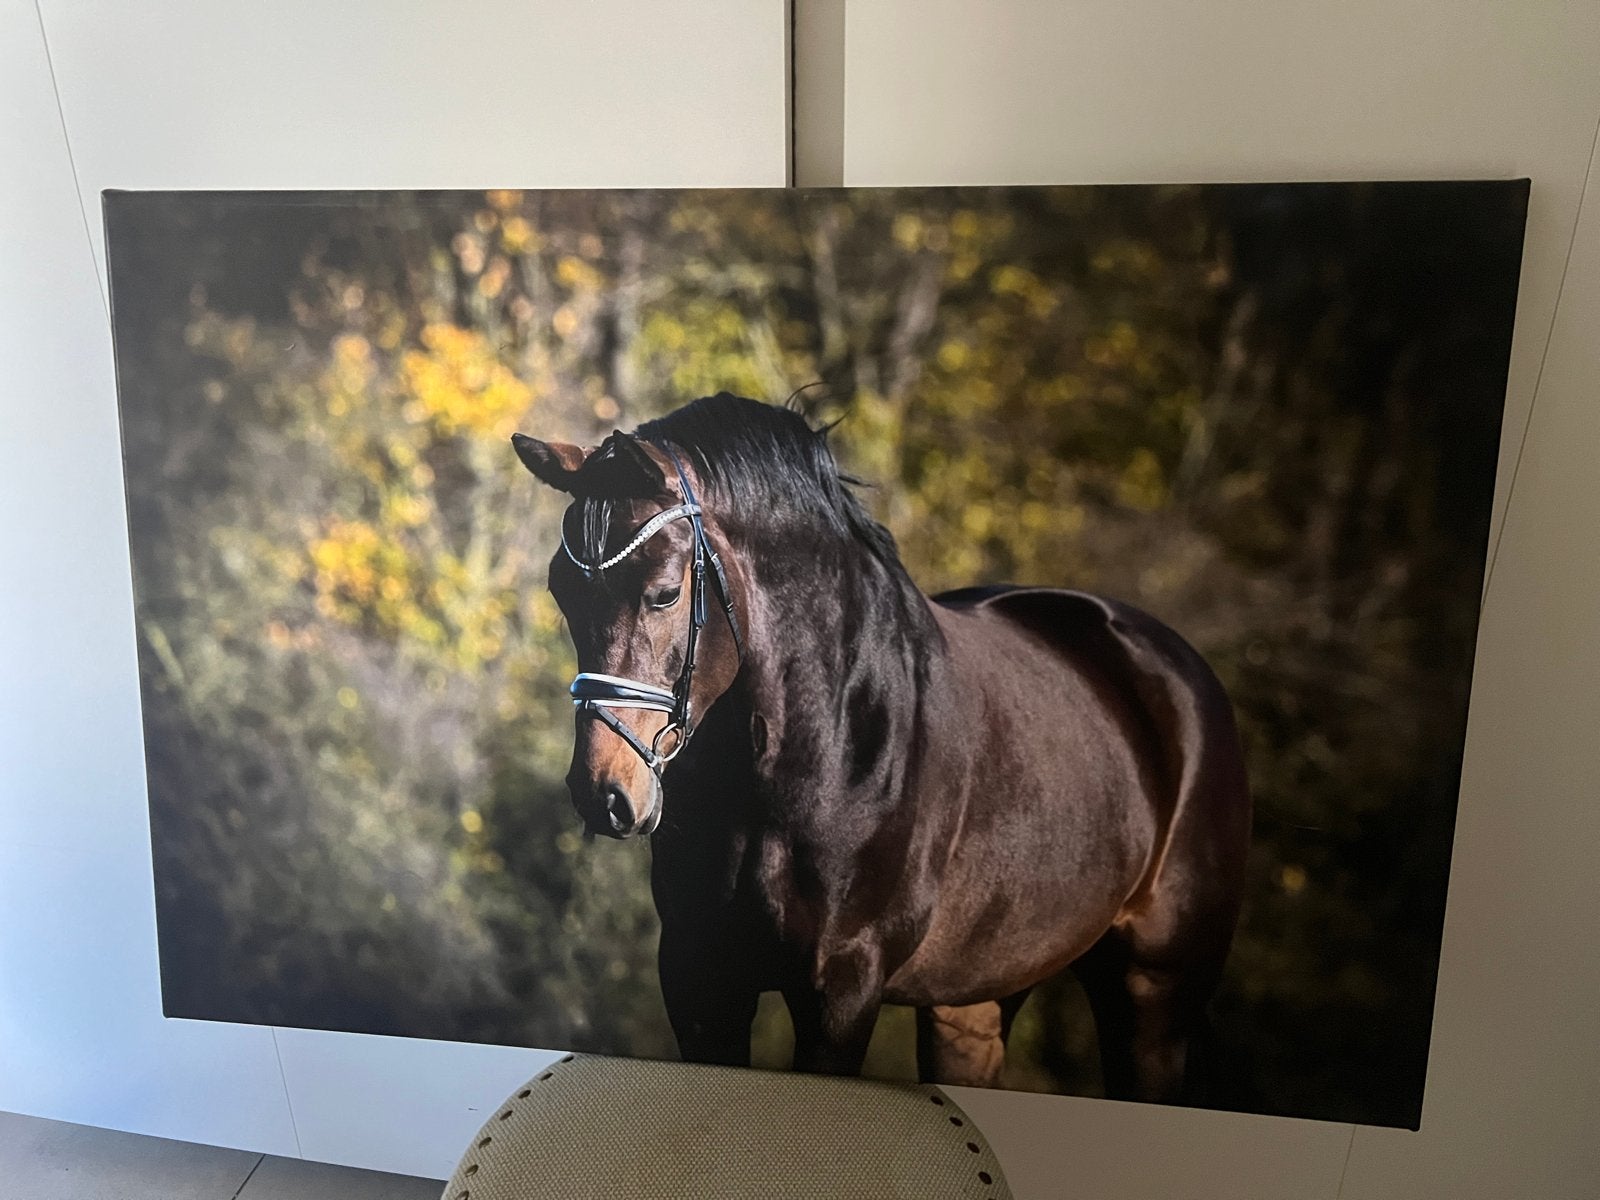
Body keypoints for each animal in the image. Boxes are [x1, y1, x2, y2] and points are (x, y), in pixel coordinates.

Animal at [512, 393, 1251, 1101]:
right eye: (562, 592)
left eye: (665, 594)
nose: (603, 793)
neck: (808, 763)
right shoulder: (701, 979)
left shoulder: (842, 990)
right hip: (976, 1001)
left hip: (1152, 996)